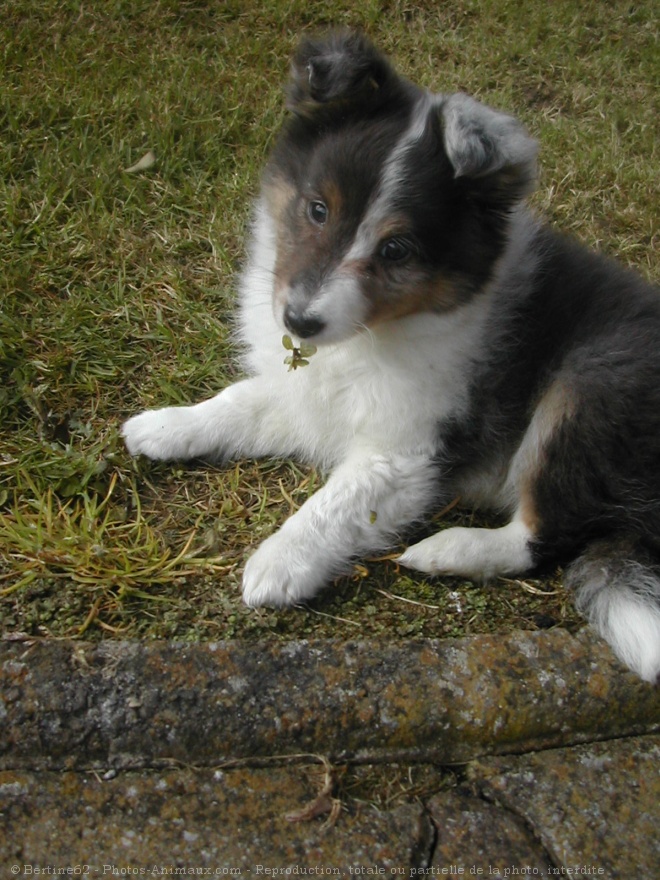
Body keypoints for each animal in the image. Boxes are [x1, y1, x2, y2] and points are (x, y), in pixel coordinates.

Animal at [124, 32, 660, 680]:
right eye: (318, 209)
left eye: (397, 250)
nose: (298, 321)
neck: (375, 331)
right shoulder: (310, 395)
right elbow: (240, 402)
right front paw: (165, 426)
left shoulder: (405, 451)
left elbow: (339, 501)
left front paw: (277, 565)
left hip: (592, 382)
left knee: (545, 535)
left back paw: (445, 550)